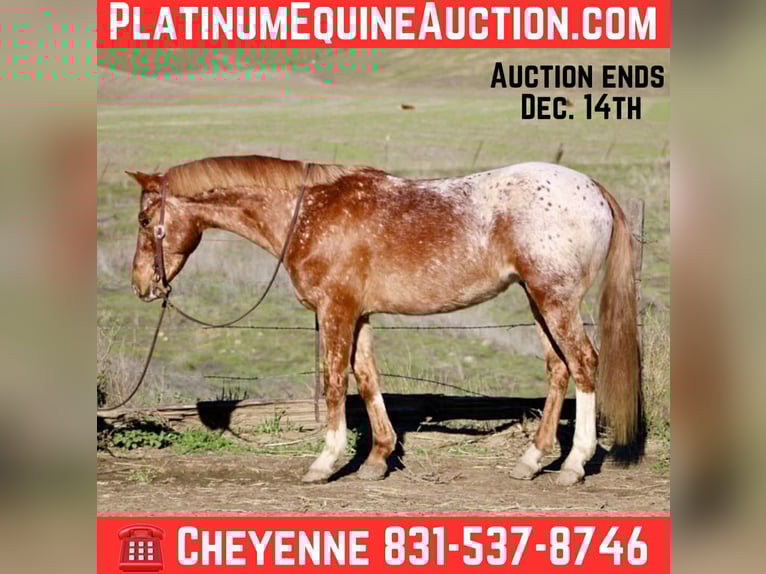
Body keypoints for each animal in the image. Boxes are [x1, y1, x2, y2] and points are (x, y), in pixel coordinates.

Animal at [128, 154, 639, 486]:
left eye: (143, 220)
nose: (141, 285)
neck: (308, 212)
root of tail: (592, 188)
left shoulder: (335, 310)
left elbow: (335, 380)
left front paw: (326, 462)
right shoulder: (360, 313)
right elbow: (367, 377)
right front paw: (377, 457)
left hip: (555, 299)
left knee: (584, 364)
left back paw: (573, 465)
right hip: (538, 300)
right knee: (558, 369)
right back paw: (531, 460)